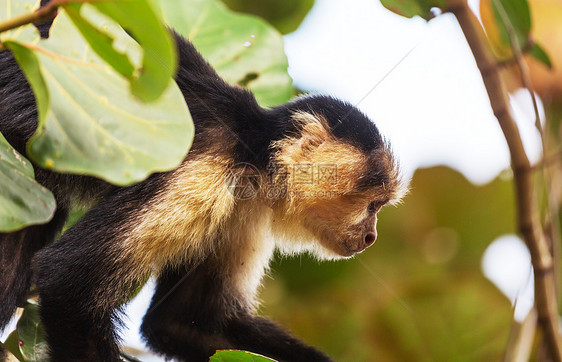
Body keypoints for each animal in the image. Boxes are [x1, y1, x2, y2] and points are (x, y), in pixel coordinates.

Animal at [0, 5, 402, 362]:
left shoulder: (242, 210)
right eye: (372, 205)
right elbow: (66, 278)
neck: (252, 153)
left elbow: (183, 322)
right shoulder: (198, 176)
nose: (372, 236)